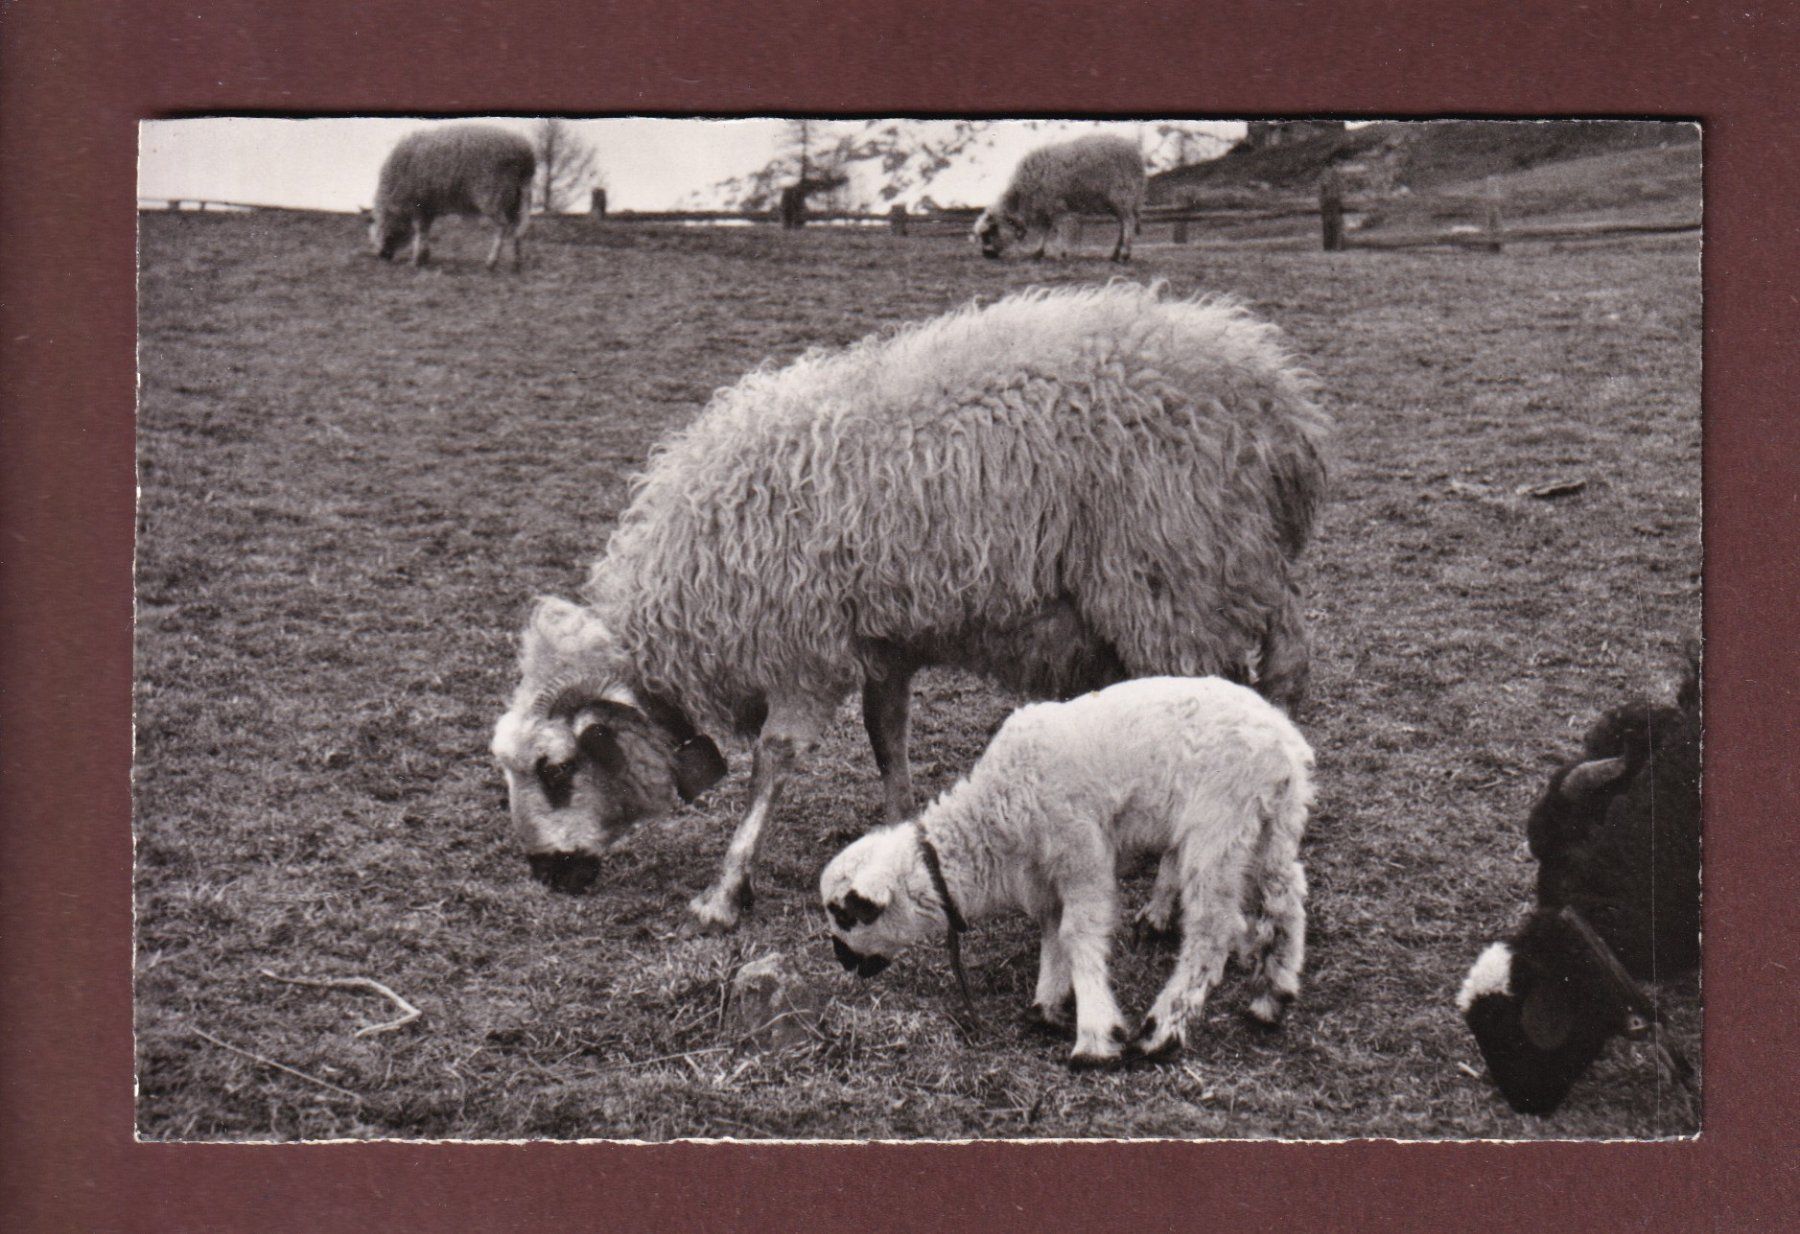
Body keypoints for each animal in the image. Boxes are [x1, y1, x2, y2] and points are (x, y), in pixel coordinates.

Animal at [370, 124, 536, 270]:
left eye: (381, 230)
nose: (381, 256)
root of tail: (525, 153)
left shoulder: (416, 205)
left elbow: (419, 231)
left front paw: (416, 260)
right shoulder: (427, 208)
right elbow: (425, 231)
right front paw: (424, 256)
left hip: (493, 195)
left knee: (502, 227)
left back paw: (491, 262)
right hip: (514, 198)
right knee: (515, 228)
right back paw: (516, 262)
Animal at [489, 282, 1328, 932]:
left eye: (555, 769)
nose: (545, 874)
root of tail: (1282, 407)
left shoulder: (801, 647)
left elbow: (773, 762)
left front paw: (722, 895)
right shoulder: (882, 643)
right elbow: (887, 741)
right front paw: (893, 845)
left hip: (1176, 588)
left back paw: (1163, 903)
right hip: (1233, 580)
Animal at [821, 676, 1315, 1067]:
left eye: (846, 915)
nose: (843, 960)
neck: (993, 819)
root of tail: (1285, 745)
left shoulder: (1082, 856)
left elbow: (1078, 933)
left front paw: (1095, 1034)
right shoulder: (1047, 876)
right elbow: (1053, 931)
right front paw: (1048, 1004)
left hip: (1219, 825)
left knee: (1214, 929)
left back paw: (1162, 1030)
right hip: (1273, 825)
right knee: (1288, 901)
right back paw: (1273, 995)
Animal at [973, 133, 1147, 262]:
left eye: (988, 234)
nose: (986, 255)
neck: (1021, 196)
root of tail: (1135, 153)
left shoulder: (1056, 207)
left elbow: (1059, 230)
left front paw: (1060, 253)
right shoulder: (1044, 208)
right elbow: (1045, 230)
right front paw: (1038, 252)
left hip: (1122, 194)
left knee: (1128, 223)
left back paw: (1124, 254)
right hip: (1119, 200)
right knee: (1123, 224)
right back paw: (1115, 254)